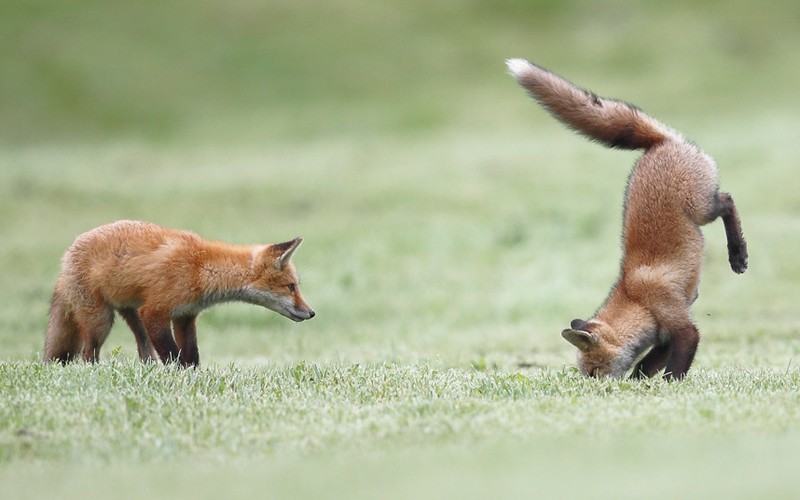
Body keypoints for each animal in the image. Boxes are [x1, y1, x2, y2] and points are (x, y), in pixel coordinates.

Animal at [43, 221, 312, 370]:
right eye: (291, 287)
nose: (311, 313)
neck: (201, 269)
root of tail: (67, 255)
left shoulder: (185, 317)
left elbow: (192, 356)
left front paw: (193, 377)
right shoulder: (155, 312)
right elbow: (173, 354)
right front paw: (178, 376)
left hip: (133, 316)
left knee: (144, 351)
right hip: (101, 321)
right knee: (87, 353)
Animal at [510, 58, 748, 378]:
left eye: (593, 371)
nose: (593, 386)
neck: (636, 299)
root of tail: (658, 143)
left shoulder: (679, 323)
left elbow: (675, 368)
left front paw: (670, 386)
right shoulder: (662, 339)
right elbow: (644, 368)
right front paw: (639, 385)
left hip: (701, 209)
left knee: (727, 201)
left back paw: (738, 255)